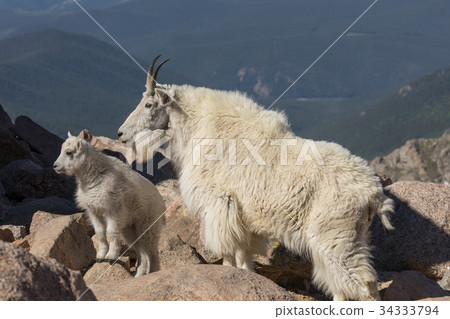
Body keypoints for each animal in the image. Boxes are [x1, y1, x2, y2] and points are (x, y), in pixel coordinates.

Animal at [53, 134, 165, 276]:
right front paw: (100, 257)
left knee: (151, 251)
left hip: (148, 224)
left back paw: (150, 272)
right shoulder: (94, 211)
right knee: (142, 251)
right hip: (130, 228)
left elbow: (111, 232)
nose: (55, 166)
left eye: (68, 152)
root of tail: (162, 205)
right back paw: (139, 274)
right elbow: (100, 233)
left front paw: (111, 257)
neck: (94, 176)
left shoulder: (113, 210)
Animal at [117, 57, 394, 300]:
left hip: (335, 234)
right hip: (356, 234)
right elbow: (244, 256)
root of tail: (373, 193)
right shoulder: (244, 218)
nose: (120, 134)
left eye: (149, 104)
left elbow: (228, 252)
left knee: (362, 282)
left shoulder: (220, 203)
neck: (199, 127)